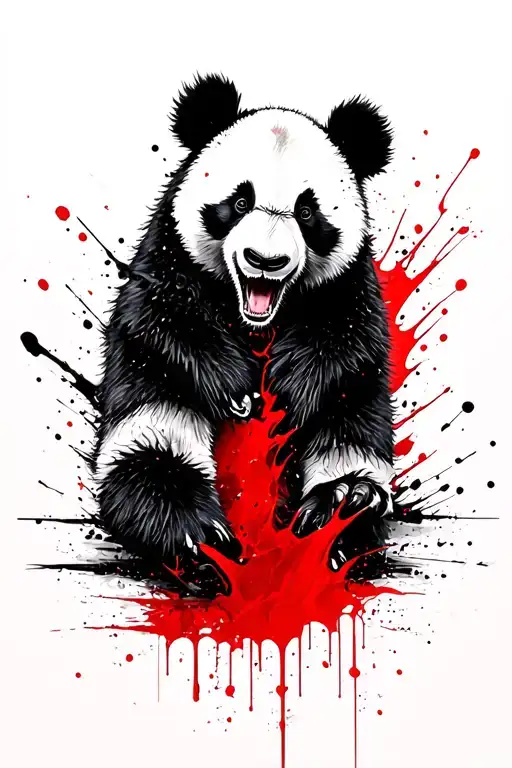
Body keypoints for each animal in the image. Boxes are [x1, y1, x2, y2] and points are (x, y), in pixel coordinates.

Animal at [94, 73, 394, 581]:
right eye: (238, 202)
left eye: (308, 213)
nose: (265, 260)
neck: (255, 321)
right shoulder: (169, 256)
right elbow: (164, 318)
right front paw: (236, 391)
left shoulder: (349, 284)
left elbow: (348, 338)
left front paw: (289, 394)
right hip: (152, 406)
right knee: (150, 458)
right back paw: (201, 542)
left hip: (354, 417)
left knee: (348, 442)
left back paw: (340, 507)